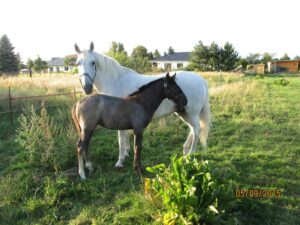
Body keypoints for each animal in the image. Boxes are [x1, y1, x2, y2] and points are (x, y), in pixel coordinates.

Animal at [74, 42, 211, 167]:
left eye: (93, 62)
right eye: (77, 63)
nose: (87, 87)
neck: (116, 80)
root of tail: (201, 79)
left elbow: (120, 140)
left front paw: (120, 161)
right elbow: (125, 137)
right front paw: (127, 153)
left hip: (191, 112)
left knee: (197, 130)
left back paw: (190, 154)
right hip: (182, 112)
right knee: (193, 129)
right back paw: (185, 150)